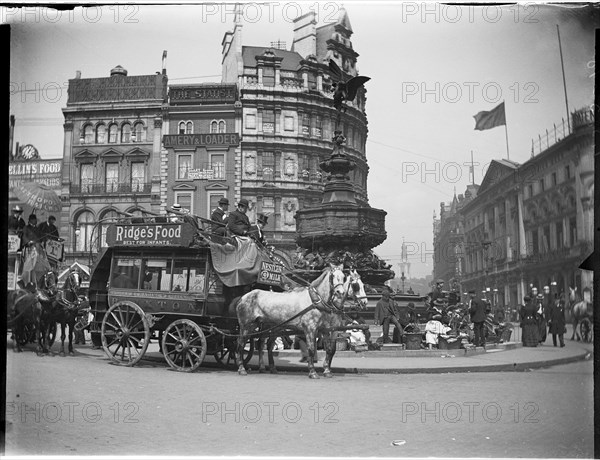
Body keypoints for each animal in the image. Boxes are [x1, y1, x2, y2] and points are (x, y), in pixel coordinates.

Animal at [233, 264, 366, 380]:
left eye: (343, 277)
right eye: (355, 286)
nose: (340, 292)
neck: (316, 301)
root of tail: (243, 297)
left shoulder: (327, 329)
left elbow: (330, 350)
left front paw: (327, 370)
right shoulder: (310, 329)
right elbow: (311, 349)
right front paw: (312, 372)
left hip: (272, 326)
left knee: (265, 344)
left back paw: (269, 367)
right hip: (247, 326)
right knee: (241, 343)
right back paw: (241, 368)